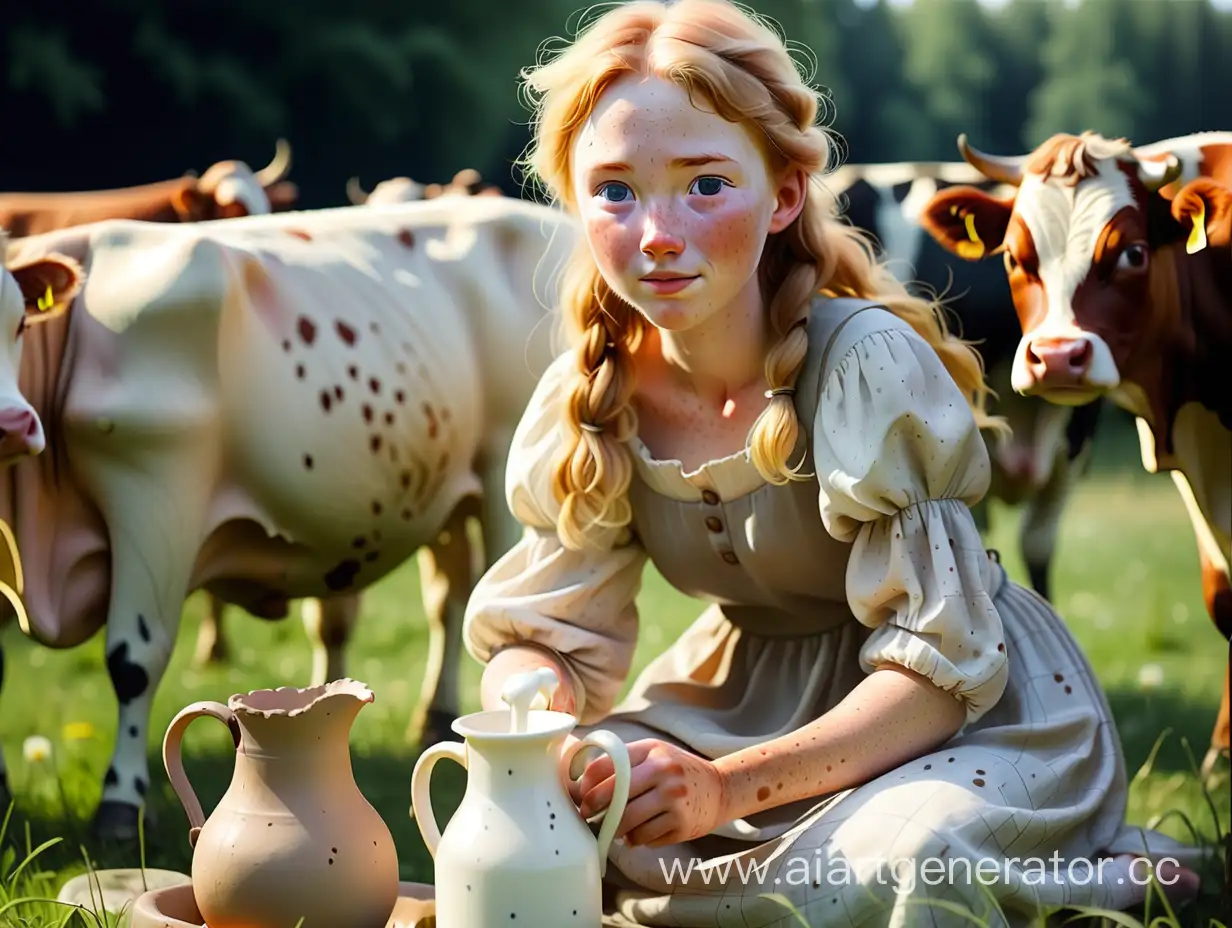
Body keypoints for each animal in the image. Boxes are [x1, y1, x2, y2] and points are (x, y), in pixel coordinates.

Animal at [0, 195, 576, 838]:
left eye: (17, 323)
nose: (12, 423)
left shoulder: (154, 484)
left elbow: (133, 660)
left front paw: (120, 804)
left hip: (505, 477)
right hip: (451, 494)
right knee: (451, 599)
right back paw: (436, 714)